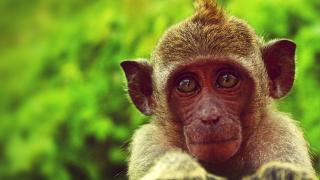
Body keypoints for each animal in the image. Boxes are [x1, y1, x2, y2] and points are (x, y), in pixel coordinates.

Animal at [120, 0, 318, 179]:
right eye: (187, 84)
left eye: (227, 79)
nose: (209, 116)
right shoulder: (150, 144)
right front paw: (179, 168)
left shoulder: (279, 135)